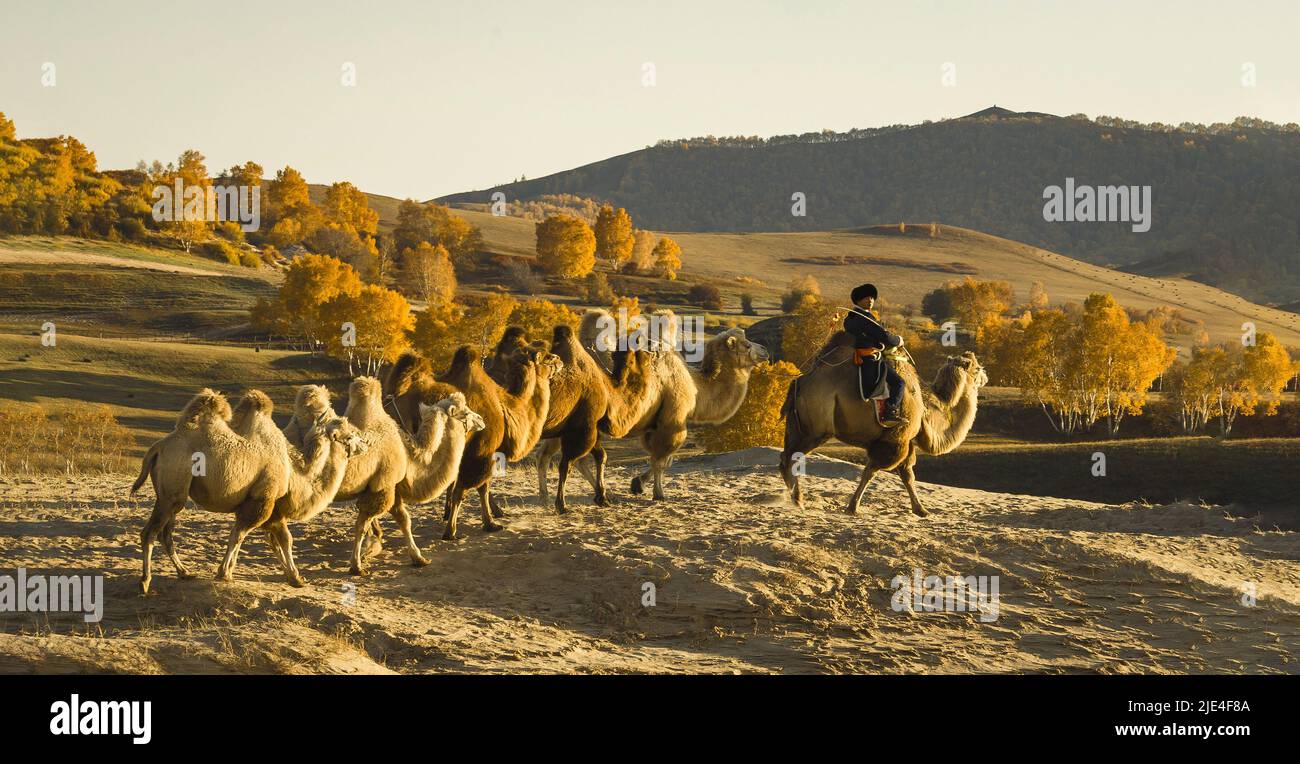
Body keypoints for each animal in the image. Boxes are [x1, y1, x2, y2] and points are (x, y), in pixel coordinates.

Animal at [780, 337, 982, 517]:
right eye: (977, 368)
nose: (984, 377)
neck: (924, 406)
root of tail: (800, 382)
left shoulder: (904, 442)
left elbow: (907, 474)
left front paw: (921, 510)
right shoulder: (894, 440)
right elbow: (872, 471)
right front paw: (852, 507)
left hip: (797, 424)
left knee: (786, 457)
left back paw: (796, 500)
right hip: (815, 429)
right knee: (791, 458)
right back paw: (798, 501)